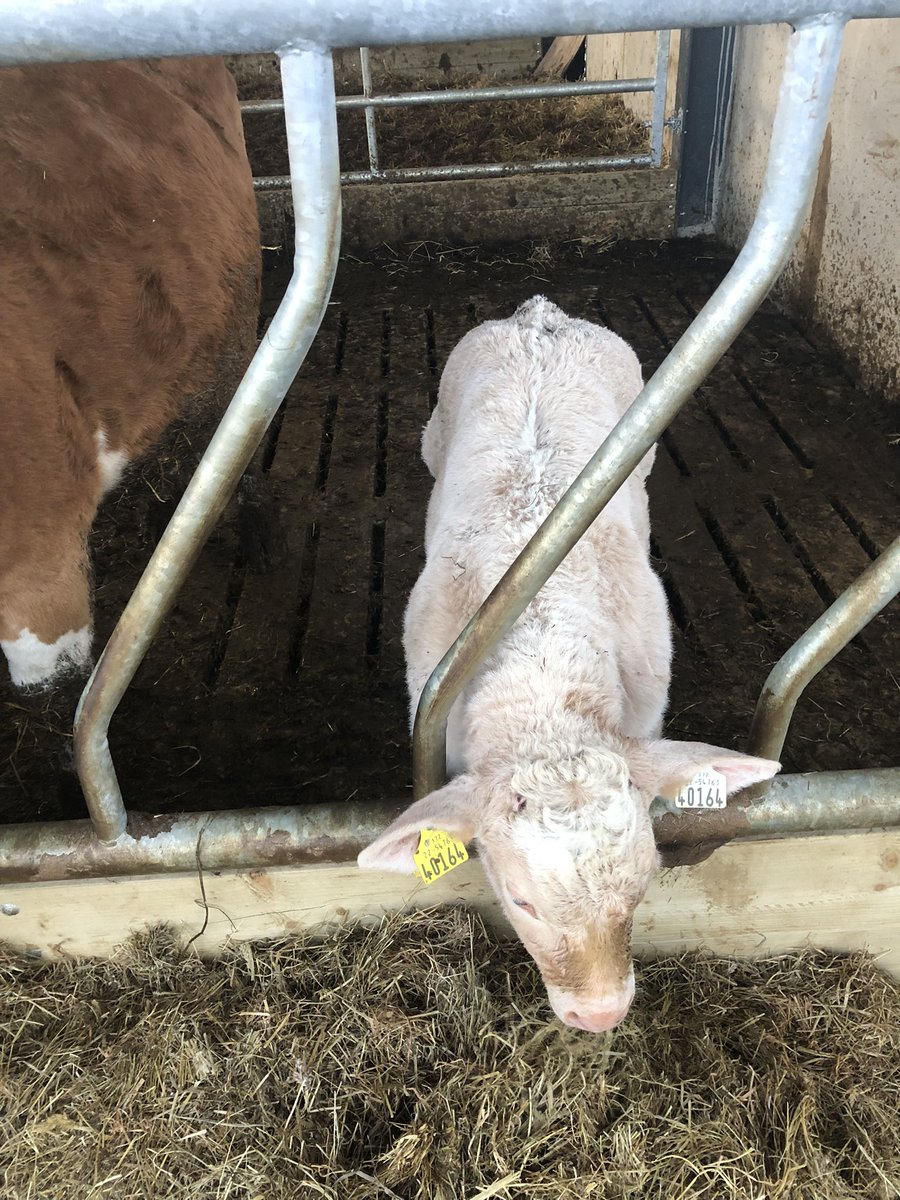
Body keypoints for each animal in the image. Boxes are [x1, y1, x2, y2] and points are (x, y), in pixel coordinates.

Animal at [359, 297, 780, 1033]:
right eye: (520, 900)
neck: (543, 663)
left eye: (644, 885)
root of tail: (541, 316)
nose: (601, 1014)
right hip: (433, 431)